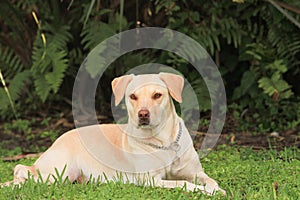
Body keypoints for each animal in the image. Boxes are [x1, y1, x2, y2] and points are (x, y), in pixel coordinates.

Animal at [0, 72, 225, 195]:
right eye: (133, 96)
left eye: (157, 95)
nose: (143, 114)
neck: (164, 141)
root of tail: (58, 140)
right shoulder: (151, 180)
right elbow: (184, 183)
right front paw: (203, 191)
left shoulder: (196, 172)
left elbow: (209, 180)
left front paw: (216, 190)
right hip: (58, 172)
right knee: (21, 170)